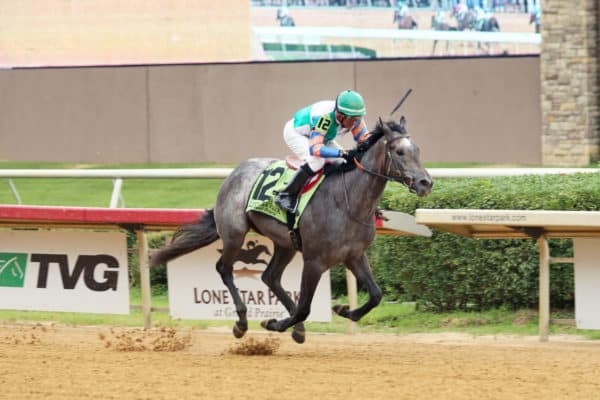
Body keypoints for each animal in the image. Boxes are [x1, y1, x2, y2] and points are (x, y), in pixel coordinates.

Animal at [150, 117, 432, 342]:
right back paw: (242, 322)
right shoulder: (315, 261)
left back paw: (297, 328)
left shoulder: (354, 255)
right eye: (398, 151)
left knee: (270, 277)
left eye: (417, 150)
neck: (347, 200)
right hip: (234, 234)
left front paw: (343, 310)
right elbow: (305, 306)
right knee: (224, 269)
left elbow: (375, 294)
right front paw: (274, 323)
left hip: (285, 243)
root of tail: (234, 172)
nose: (425, 182)